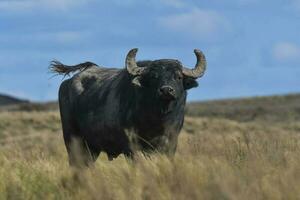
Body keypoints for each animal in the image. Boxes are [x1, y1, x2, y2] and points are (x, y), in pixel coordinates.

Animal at [51, 48, 206, 166]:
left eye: (178, 77)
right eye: (154, 76)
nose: (166, 90)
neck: (158, 119)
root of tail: (67, 83)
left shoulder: (170, 144)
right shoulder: (132, 147)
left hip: (92, 148)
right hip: (73, 141)